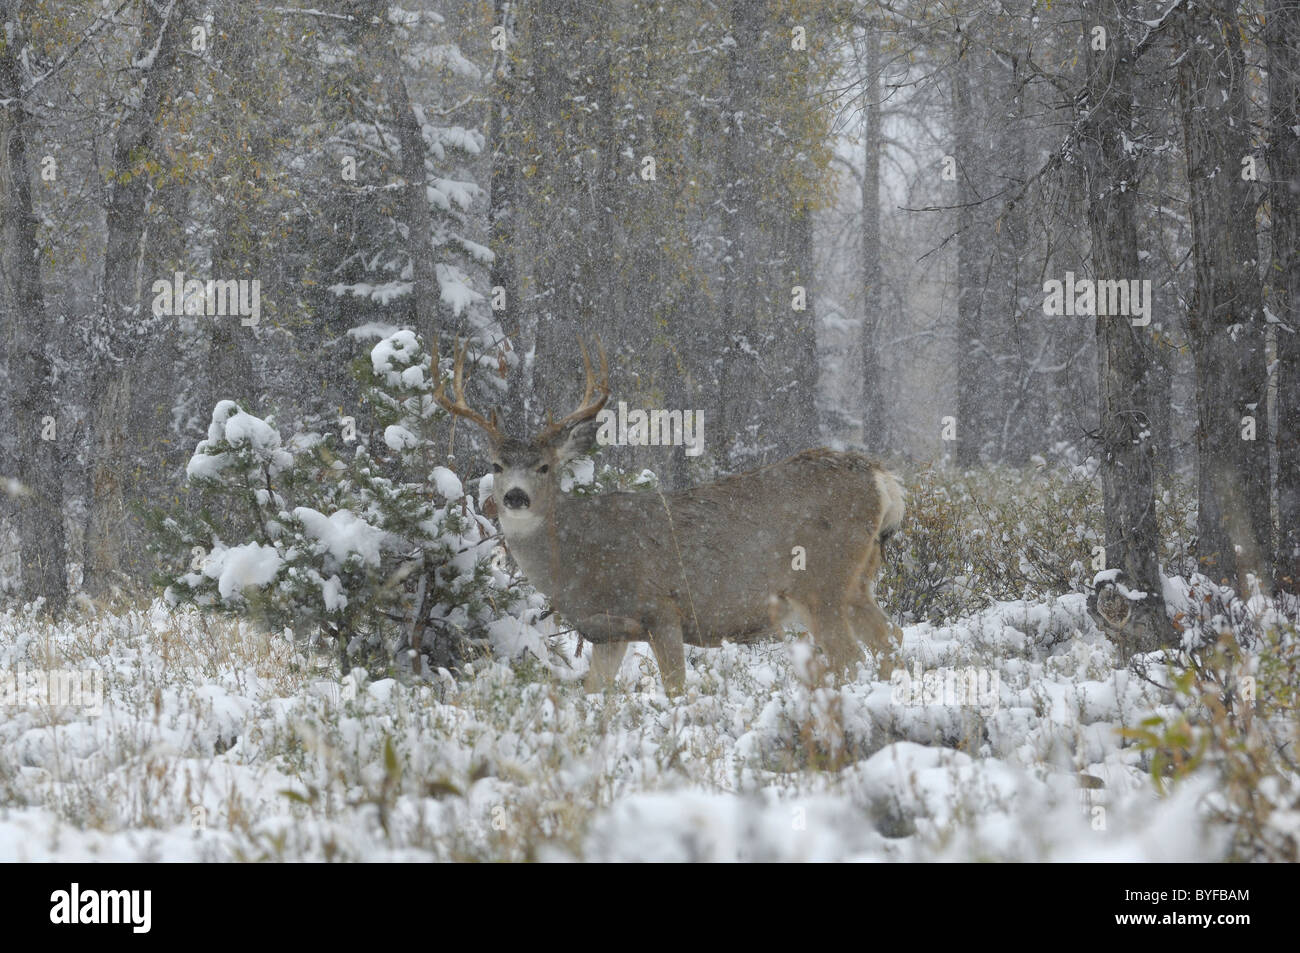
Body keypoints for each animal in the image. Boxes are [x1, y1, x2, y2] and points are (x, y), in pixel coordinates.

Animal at [434, 338, 904, 696]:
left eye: (545, 467)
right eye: (496, 464)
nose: (515, 496)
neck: (581, 561)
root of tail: (881, 478)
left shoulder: (662, 608)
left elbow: (675, 686)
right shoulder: (609, 631)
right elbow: (593, 693)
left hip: (820, 581)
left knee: (850, 656)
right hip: (857, 581)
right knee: (891, 641)